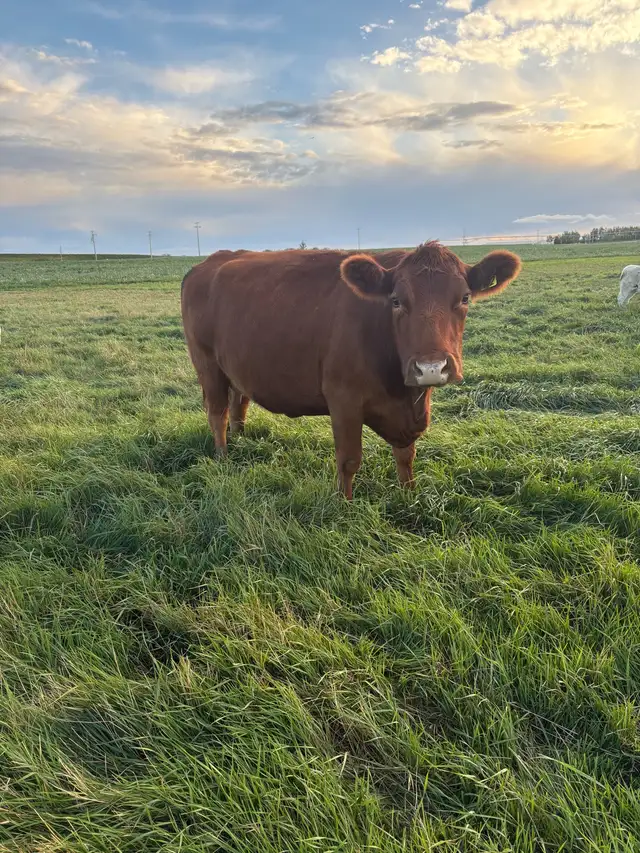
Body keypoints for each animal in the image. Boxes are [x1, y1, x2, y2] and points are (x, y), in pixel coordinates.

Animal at [181, 242, 521, 499]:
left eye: (464, 298)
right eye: (396, 301)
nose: (431, 368)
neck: (402, 394)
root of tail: (207, 263)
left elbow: (406, 456)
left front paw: (409, 494)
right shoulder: (343, 399)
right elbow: (348, 460)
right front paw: (344, 504)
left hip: (236, 365)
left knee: (239, 403)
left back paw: (242, 441)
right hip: (207, 364)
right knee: (217, 413)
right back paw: (224, 457)